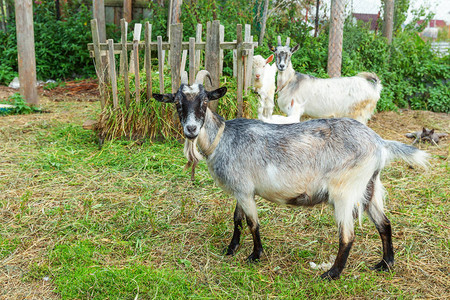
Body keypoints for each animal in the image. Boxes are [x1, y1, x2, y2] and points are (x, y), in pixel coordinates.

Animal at [154, 74, 428, 280]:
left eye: (204, 102)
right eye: (177, 103)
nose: (191, 129)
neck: (223, 138)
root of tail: (379, 142)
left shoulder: (244, 190)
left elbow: (253, 223)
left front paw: (255, 256)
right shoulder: (241, 190)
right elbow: (237, 219)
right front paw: (231, 249)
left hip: (345, 191)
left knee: (347, 236)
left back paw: (331, 274)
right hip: (370, 186)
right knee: (384, 224)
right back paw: (385, 264)